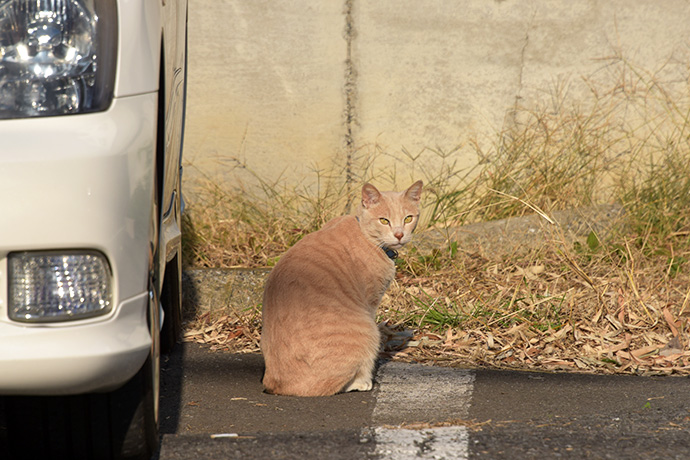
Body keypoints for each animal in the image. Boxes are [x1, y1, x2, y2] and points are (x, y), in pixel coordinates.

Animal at [258, 180, 420, 396]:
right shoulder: (370, 303)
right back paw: (360, 383)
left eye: (408, 218)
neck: (367, 236)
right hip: (366, 329)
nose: (399, 234)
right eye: (384, 221)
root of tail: (274, 385)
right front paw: (365, 380)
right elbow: (367, 362)